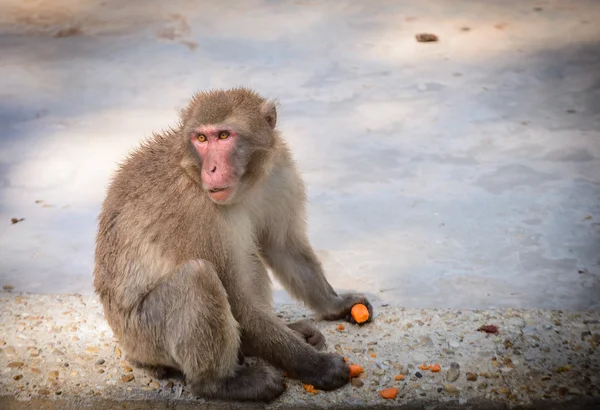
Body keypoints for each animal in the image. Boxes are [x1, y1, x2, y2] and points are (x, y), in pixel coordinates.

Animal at [93, 86, 372, 400]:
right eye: (201, 139)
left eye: (224, 136)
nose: (212, 169)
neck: (246, 186)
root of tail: (128, 348)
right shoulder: (196, 212)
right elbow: (239, 305)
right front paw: (317, 366)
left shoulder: (279, 175)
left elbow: (283, 248)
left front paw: (337, 304)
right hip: (144, 337)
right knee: (198, 277)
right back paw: (221, 383)